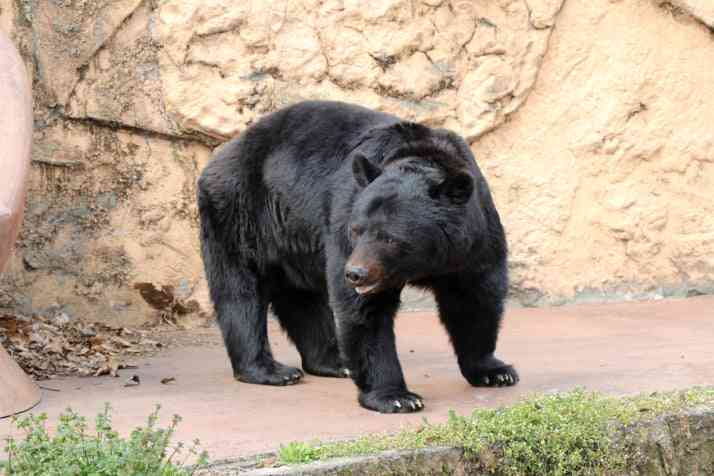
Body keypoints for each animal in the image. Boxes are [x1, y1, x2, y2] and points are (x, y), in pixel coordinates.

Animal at [197, 100, 518, 413]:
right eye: (356, 230)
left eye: (390, 237)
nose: (355, 273)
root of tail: (223, 153)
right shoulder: (344, 214)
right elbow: (364, 312)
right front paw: (396, 396)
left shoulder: (474, 238)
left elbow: (474, 297)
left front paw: (495, 371)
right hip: (240, 209)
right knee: (240, 290)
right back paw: (271, 369)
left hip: (292, 233)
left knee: (302, 298)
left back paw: (334, 361)